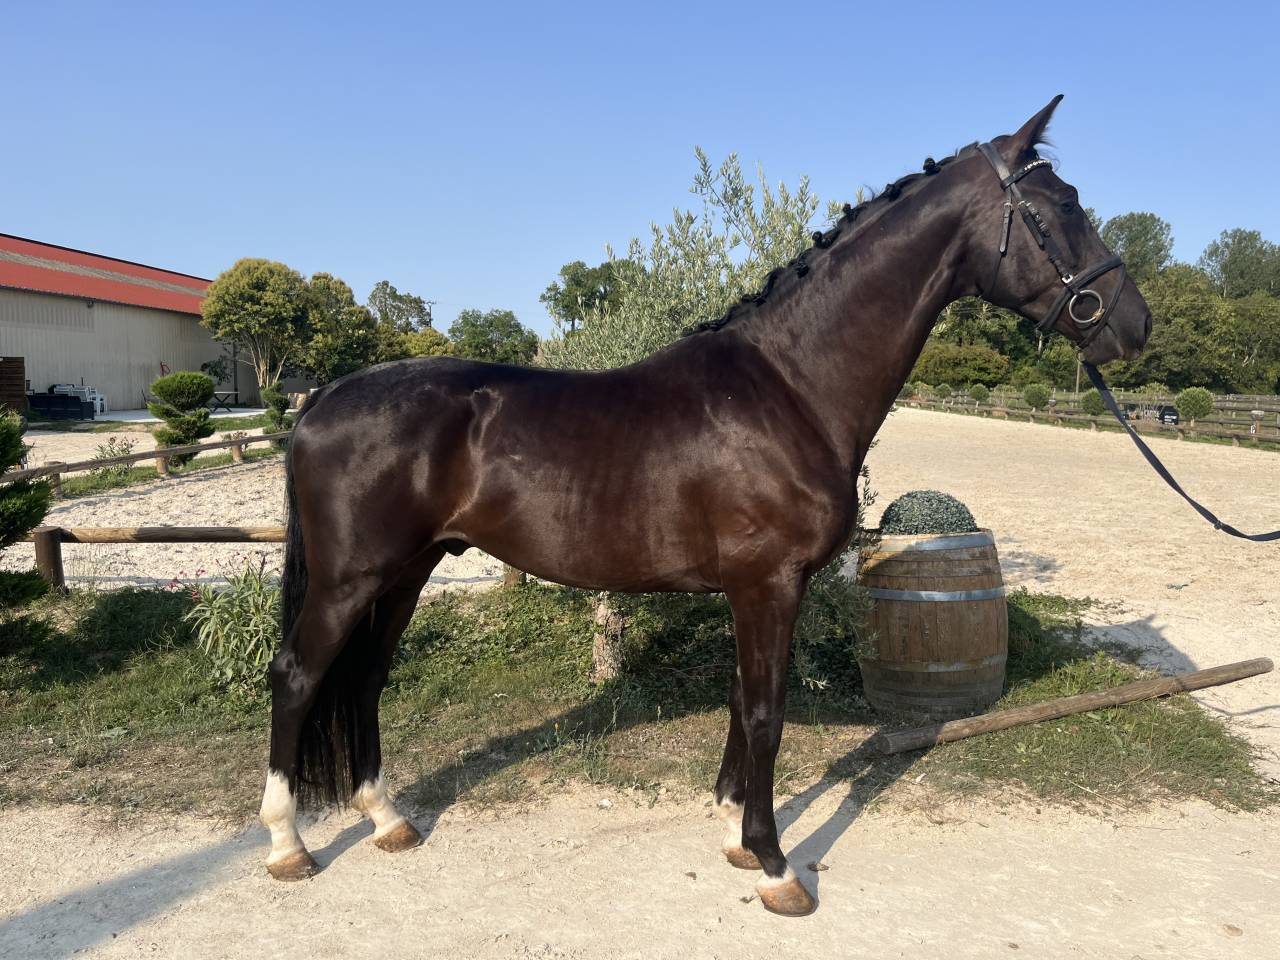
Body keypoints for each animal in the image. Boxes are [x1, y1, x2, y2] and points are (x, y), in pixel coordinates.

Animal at [259, 95, 1151, 916]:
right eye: (1059, 209)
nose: (1134, 324)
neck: (791, 386)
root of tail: (322, 397)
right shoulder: (769, 582)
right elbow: (765, 711)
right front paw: (775, 864)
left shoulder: (755, 588)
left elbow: (739, 701)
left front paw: (731, 831)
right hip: (349, 580)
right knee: (299, 674)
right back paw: (287, 844)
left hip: (406, 572)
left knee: (366, 677)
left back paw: (386, 819)